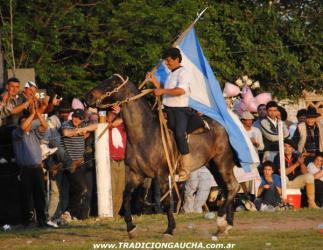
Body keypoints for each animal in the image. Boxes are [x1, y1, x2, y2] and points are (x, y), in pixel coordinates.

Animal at [86, 73, 240, 236]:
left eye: (113, 83)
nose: (88, 96)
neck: (145, 133)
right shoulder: (136, 174)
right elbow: (126, 196)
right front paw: (130, 226)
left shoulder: (163, 175)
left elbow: (166, 202)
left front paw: (170, 228)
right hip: (213, 165)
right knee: (227, 188)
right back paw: (226, 225)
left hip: (222, 162)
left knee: (233, 186)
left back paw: (221, 220)